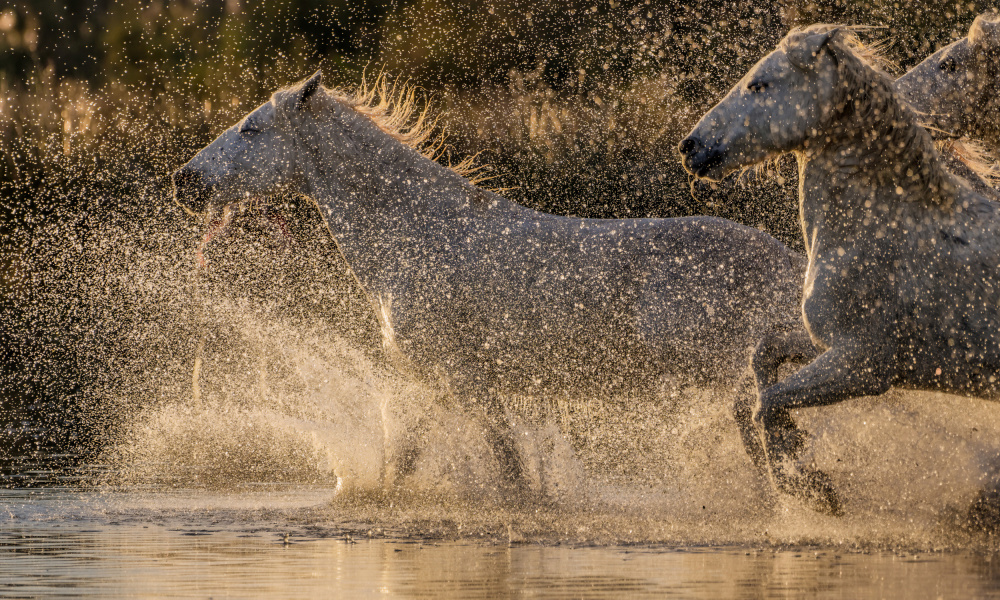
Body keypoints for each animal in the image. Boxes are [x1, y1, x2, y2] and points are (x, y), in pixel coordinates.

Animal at [172, 70, 807, 497]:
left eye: (252, 129)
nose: (184, 181)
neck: (417, 235)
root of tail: (789, 263)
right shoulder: (439, 382)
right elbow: (412, 464)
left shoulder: (464, 379)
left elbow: (507, 470)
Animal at [680, 25, 1000, 515]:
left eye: (759, 85)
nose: (690, 147)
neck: (880, 227)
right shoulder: (829, 345)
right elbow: (765, 356)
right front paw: (796, 458)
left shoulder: (861, 365)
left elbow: (768, 402)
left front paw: (811, 488)